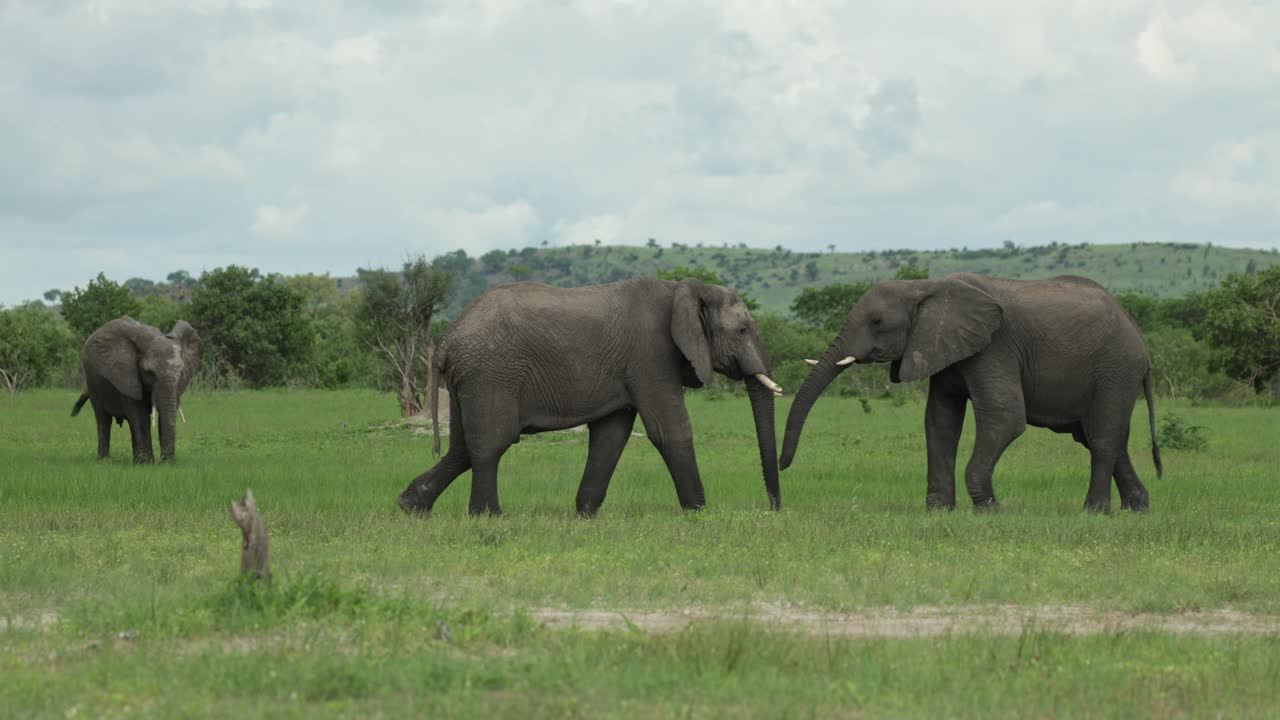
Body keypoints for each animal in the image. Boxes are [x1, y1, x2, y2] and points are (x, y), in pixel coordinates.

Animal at [71, 316, 202, 463]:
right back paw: (104, 461)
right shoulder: (126, 376)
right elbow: (140, 416)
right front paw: (146, 463)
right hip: (92, 379)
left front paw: (159, 464)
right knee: (103, 419)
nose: (166, 462)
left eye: (182, 374)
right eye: (150, 373)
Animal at [397, 276, 784, 517]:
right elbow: (669, 430)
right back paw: (488, 516)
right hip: (491, 375)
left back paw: (410, 506)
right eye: (742, 330)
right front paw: (699, 512)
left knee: (462, 446)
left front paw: (585, 514)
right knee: (492, 441)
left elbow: (611, 436)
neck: (683, 289)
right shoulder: (652, 357)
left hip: (470, 381)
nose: (775, 509)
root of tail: (446, 340)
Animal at [780, 272, 1162, 513]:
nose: (783, 468)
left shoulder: (995, 347)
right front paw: (938, 511)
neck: (926, 287)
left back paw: (1093, 511)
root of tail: (1141, 341)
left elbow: (1005, 418)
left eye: (876, 321)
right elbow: (940, 420)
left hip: (1115, 371)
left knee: (1102, 437)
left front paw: (990, 510)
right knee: (1100, 436)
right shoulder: (942, 347)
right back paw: (1137, 508)